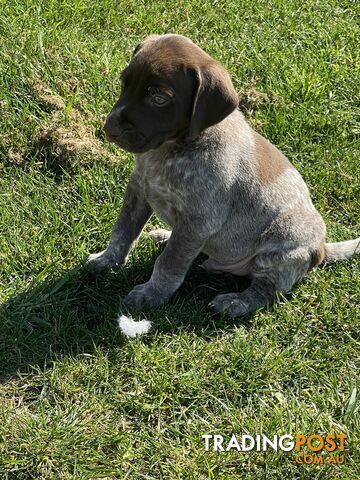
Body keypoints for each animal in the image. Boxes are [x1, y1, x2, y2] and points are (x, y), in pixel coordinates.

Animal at [86, 34, 358, 318]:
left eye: (158, 98)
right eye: (124, 84)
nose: (109, 128)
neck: (173, 149)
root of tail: (321, 247)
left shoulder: (198, 221)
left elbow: (169, 263)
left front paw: (152, 294)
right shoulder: (139, 190)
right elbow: (123, 230)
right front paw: (107, 260)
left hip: (278, 252)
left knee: (268, 290)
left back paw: (236, 302)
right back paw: (165, 236)